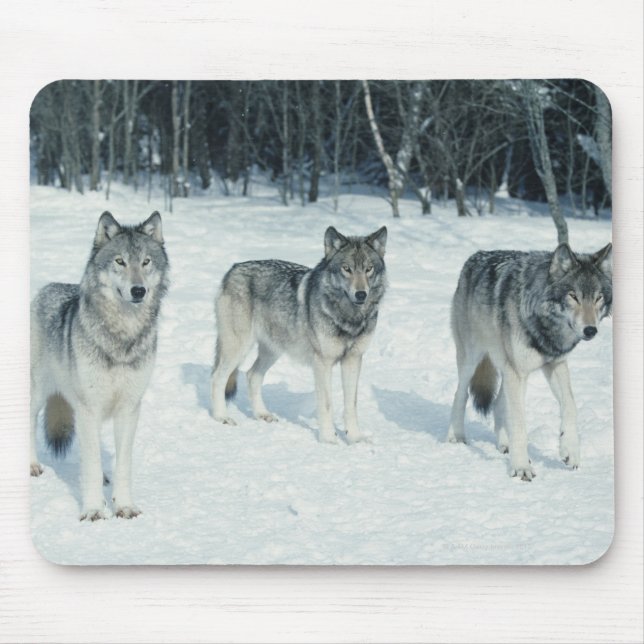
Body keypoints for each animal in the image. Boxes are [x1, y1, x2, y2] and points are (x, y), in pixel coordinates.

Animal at [30, 211, 169, 520]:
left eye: (146, 262)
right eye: (120, 261)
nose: (138, 290)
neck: (122, 337)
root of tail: (47, 287)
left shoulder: (129, 408)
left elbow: (123, 464)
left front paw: (124, 505)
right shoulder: (88, 408)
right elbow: (91, 465)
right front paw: (93, 510)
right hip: (37, 393)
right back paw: (31, 465)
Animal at [210, 226, 388, 443]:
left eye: (368, 269)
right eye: (347, 269)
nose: (361, 294)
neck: (349, 318)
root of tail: (233, 269)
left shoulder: (353, 360)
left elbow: (351, 405)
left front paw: (355, 438)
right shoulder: (322, 362)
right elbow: (327, 404)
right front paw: (328, 439)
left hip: (272, 350)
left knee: (252, 375)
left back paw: (262, 414)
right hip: (239, 348)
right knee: (217, 377)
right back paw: (222, 417)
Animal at [446, 242, 612, 480]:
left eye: (598, 297)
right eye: (573, 296)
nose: (590, 330)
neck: (545, 326)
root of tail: (476, 256)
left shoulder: (555, 364)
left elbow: (571, 405)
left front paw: (570, 451)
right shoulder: (517, 372)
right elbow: (519, 424)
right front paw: (521, 467)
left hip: (508, 371)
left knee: (498, 402)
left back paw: (504, 444)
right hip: (473, 359)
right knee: (461, 394)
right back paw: (456, 437)